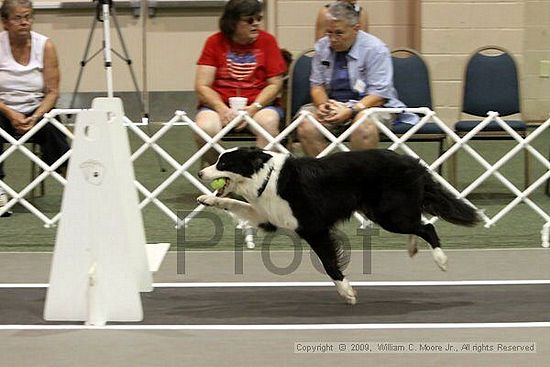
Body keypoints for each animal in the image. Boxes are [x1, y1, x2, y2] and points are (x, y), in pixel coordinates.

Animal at [197, 147, 478, 304]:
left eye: (223, 163)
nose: (200, 173)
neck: (264, 177)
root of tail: (412, 162)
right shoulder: (267, 217)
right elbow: (233, 203)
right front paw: (208, 199)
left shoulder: (314, 227)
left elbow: (329, 263)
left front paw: (347, 292)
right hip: (384, 212)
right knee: (419, 223)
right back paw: (413, 248)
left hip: (389, 214)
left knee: (426, 227)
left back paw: (441, 260)